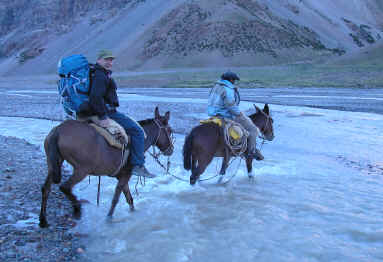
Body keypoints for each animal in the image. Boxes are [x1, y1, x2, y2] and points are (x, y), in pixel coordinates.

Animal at [39, 106, 174, 227]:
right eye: (169, 130)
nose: (171, 150)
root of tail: (57, 131)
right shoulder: (126, 175)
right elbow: (116, 198)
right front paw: (109, 218)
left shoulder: (122, 175)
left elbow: (128, 198)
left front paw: (132, 212)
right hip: (81, 170)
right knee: (64, 187)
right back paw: (77, 209)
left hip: (53, 164)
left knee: (46, 189)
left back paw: (43, 220)